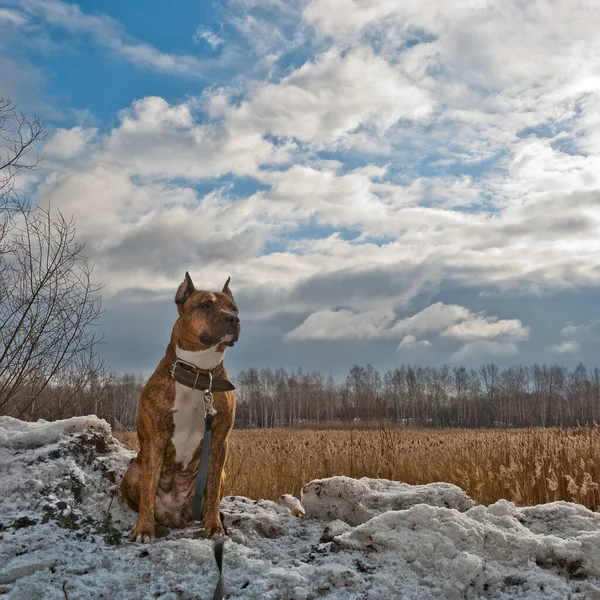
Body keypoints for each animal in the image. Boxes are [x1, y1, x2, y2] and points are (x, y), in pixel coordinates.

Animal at [120, 274, 240, 540]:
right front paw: (144, 530)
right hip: (132, 474)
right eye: (205, 305)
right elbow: (147, 494)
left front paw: (214, 526)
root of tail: (176, 515)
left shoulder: (219, 442)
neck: (198, 375)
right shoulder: (155, 440)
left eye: (234, 308)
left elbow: (212, 493)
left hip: (220, 473)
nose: (234, 320)